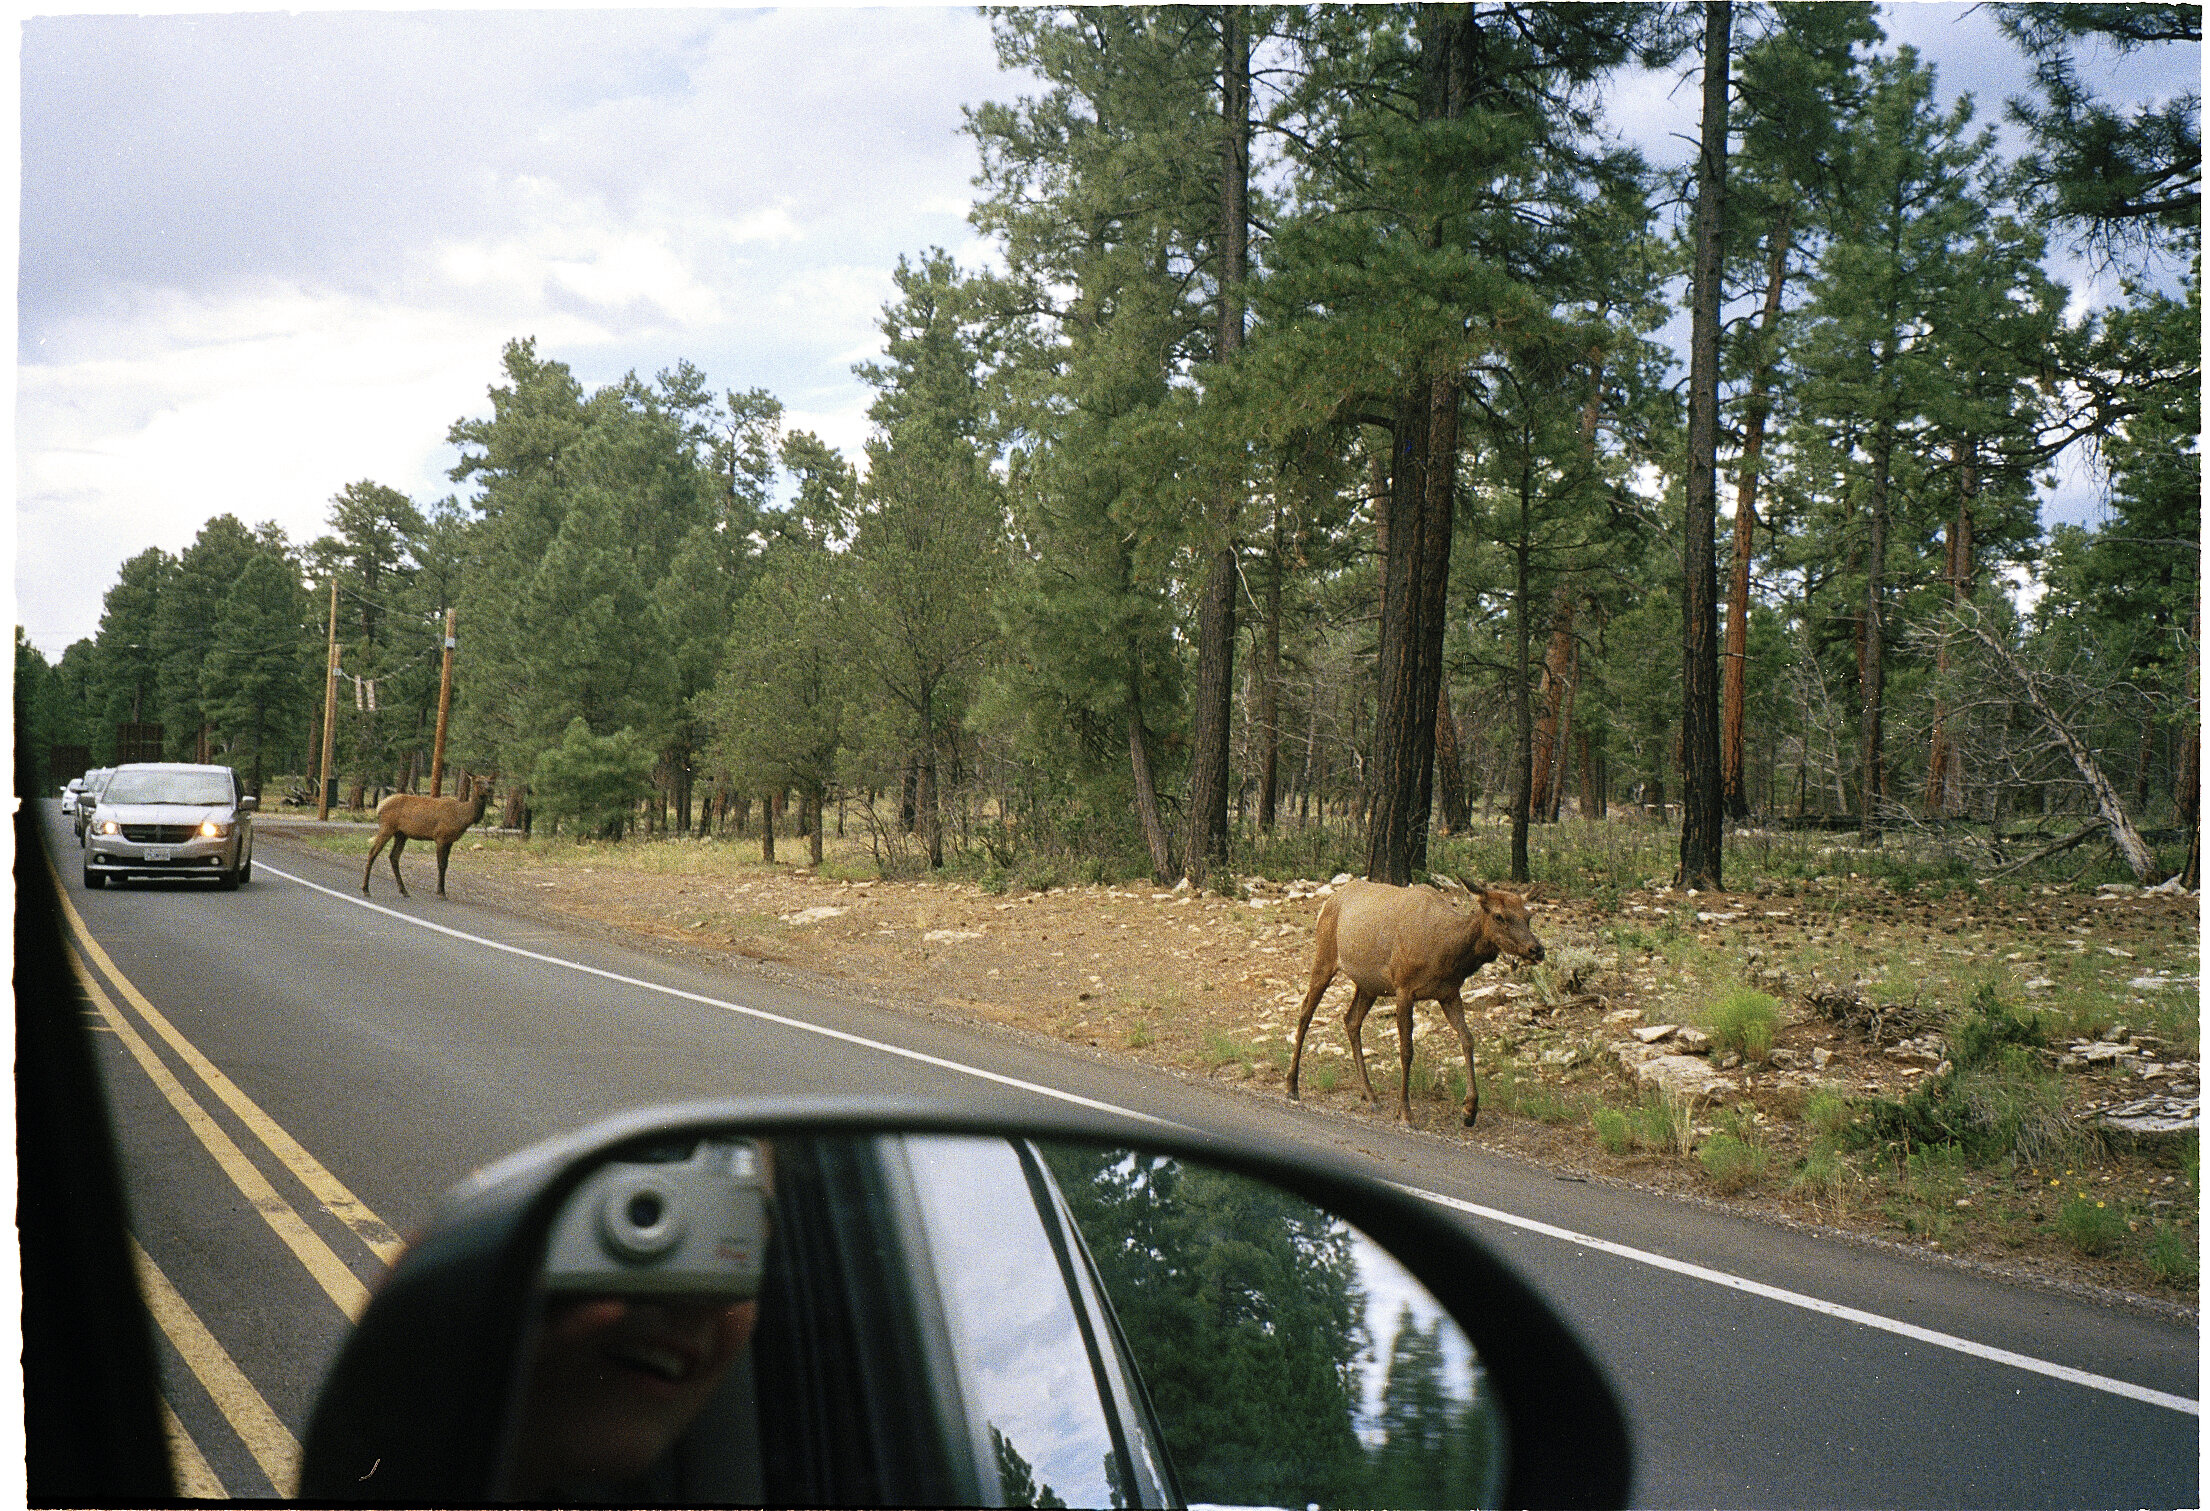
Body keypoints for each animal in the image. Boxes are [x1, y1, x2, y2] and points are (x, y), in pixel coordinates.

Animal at [362, 778, 494, 900]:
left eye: (489, 781)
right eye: (478, 781)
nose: (489, 789)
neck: (462, 817)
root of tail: (379, 806)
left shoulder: (450, 841)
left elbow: (445, 865)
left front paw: (441, 891)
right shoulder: (440, 838)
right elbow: (441, 865)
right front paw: (441, 892)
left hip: (401, 834)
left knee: (393, 856)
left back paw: (403, 890)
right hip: (387, 828)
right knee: (372, 852)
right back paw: (366, 889)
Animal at [1287, 877, 1546, 1128]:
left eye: (1528, 916)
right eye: (1499, 916)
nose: (1537, 949)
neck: (1446, 954)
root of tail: (1329, 901)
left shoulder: (1449, 993)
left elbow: (1468, 1039)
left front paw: (1469, 1110)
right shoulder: (1404, 987)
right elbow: (1406, 1050)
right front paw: (1405, 1113)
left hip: (1369, 984)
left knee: (1351, 1020)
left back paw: (1370, 1095)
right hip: (1325, 956)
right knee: (1306, 1012)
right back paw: (1292, 1086)